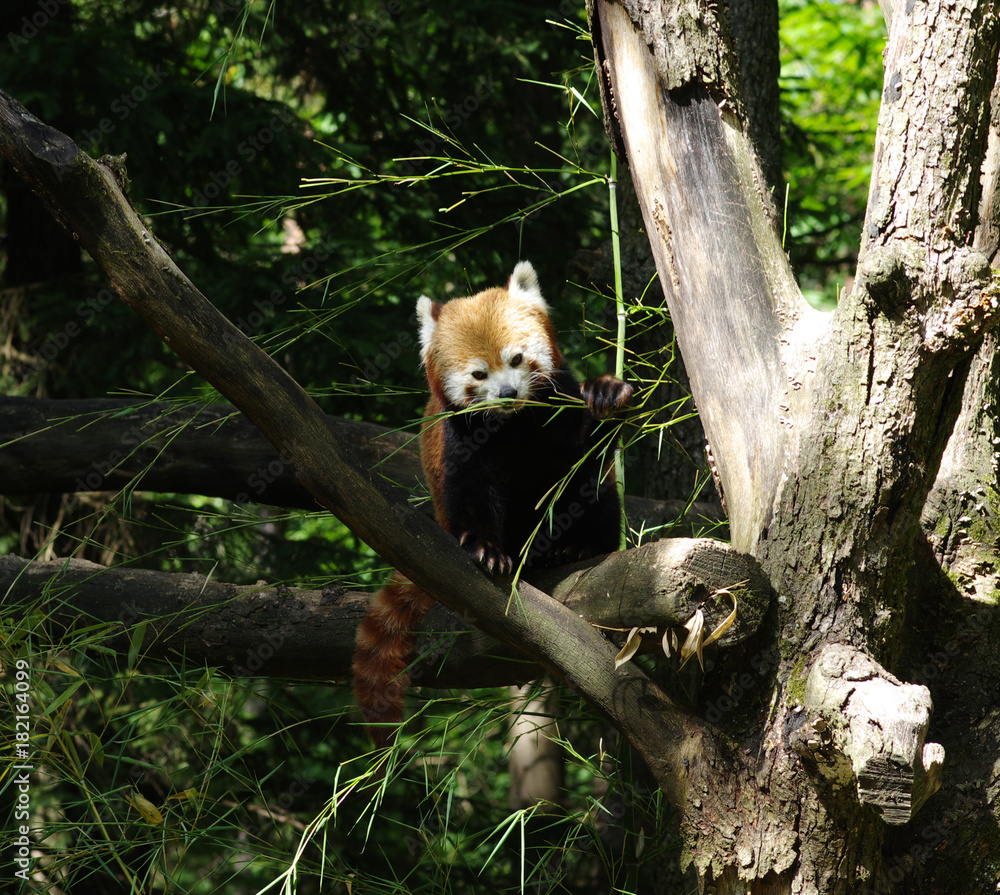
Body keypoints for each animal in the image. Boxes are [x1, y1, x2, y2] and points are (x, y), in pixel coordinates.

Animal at [354, 260, 632, 748]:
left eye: (517, 359)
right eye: (479, 375)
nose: (506, 393)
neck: (513, 426)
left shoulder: (556, 417)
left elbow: (582, 459)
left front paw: (605, 395)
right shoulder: (461, 441)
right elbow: (473, 493)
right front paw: (486, 551)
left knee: (597, 492)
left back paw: (577, 548)